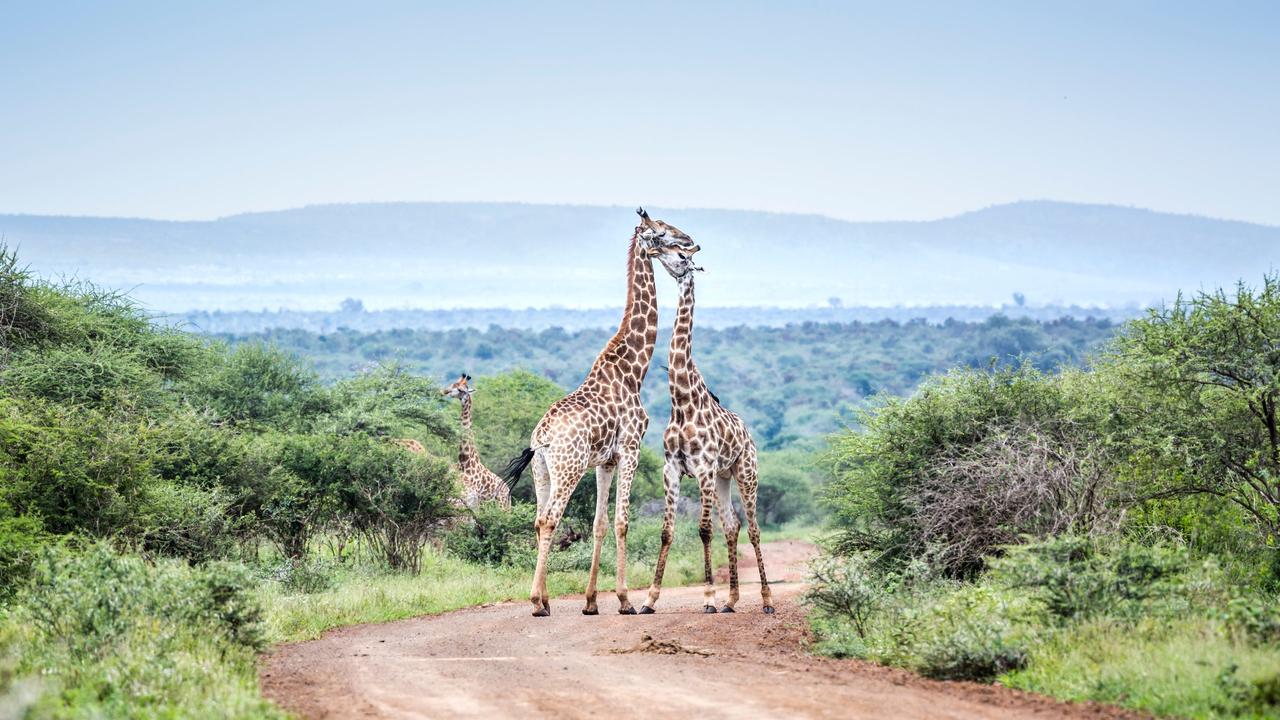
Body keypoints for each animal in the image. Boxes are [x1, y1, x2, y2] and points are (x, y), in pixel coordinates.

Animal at [442, 371, 512, 507]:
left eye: (461, 389)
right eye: (453, 383)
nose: (445, 391)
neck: (464, 461)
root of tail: (508, 491)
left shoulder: (474, 499)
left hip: (502, 506)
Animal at [504, 207, 701, 617]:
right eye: (661, 232)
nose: (691, 240)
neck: (632, 370)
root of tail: (541, 438)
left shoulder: (606, 460)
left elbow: (599, 523)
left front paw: (592, 602)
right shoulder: (631, 448)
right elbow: (623, 521)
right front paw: (625, 600)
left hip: (542, 471)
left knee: (538, 519)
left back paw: (545, 598)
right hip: (569, 467)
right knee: (551, 519)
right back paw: (536, 602)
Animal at [645, 240, 773, 609]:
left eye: (681, 255)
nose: (654, 248)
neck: (681, 402)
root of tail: (749, 434)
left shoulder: (702, 468)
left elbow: (703, 530)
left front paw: (708, 597)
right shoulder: (672, 468)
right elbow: (667, 531)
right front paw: (649, 599)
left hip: (746, 472)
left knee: (753, 528)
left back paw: (765, 598)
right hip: (722, 477)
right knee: (732, 525)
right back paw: (732, 599)